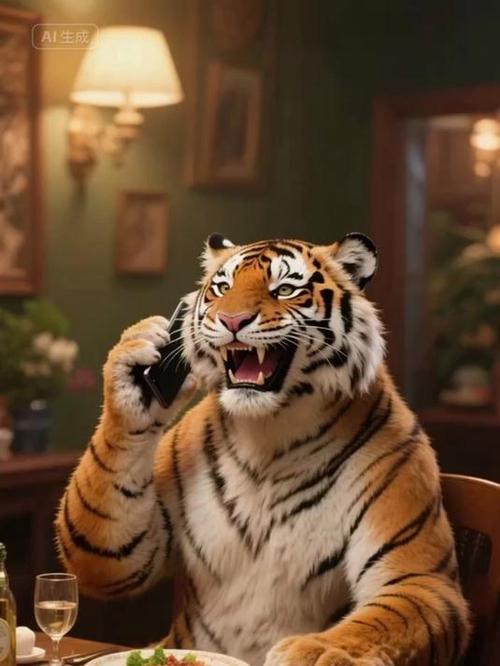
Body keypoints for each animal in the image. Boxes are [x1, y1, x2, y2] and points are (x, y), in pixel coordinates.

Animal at [55, 232, 470, 666]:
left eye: (284, 289)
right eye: (222, 288)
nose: (232, 321)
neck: (271, 431)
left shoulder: (416, 573)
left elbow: (382, 619)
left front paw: (317, 651)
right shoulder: (129, 550)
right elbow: (108, 551)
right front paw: (136, 359)